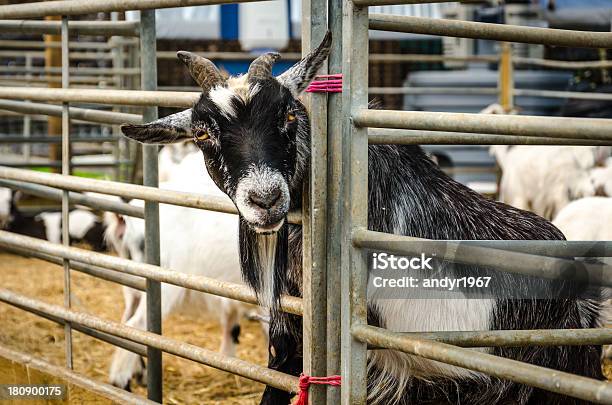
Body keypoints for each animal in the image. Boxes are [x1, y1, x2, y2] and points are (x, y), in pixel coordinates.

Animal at [103, 151, 266, 388]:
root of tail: (127, 221)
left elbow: (232, 323)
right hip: (162, 285)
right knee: (135, 324)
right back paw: (120, 381)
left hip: (132, 284)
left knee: (126, 320)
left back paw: (140, 375)